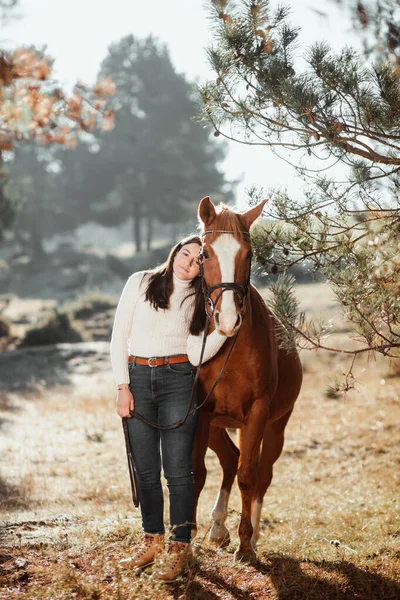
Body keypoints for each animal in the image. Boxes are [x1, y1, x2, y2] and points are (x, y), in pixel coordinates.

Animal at [191, 196, 304, 564]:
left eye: (249, 254)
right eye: (205, 254)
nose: (227, 319)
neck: (230, 346)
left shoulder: (257, 412)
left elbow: (248, 476)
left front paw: (244, 544)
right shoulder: (201, 413)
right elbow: (198, 473)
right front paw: (186, 538)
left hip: (275, 426)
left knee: (259, 473)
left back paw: (250, 537)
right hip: (217, 425)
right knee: (230, 459)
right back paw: (216, 527)